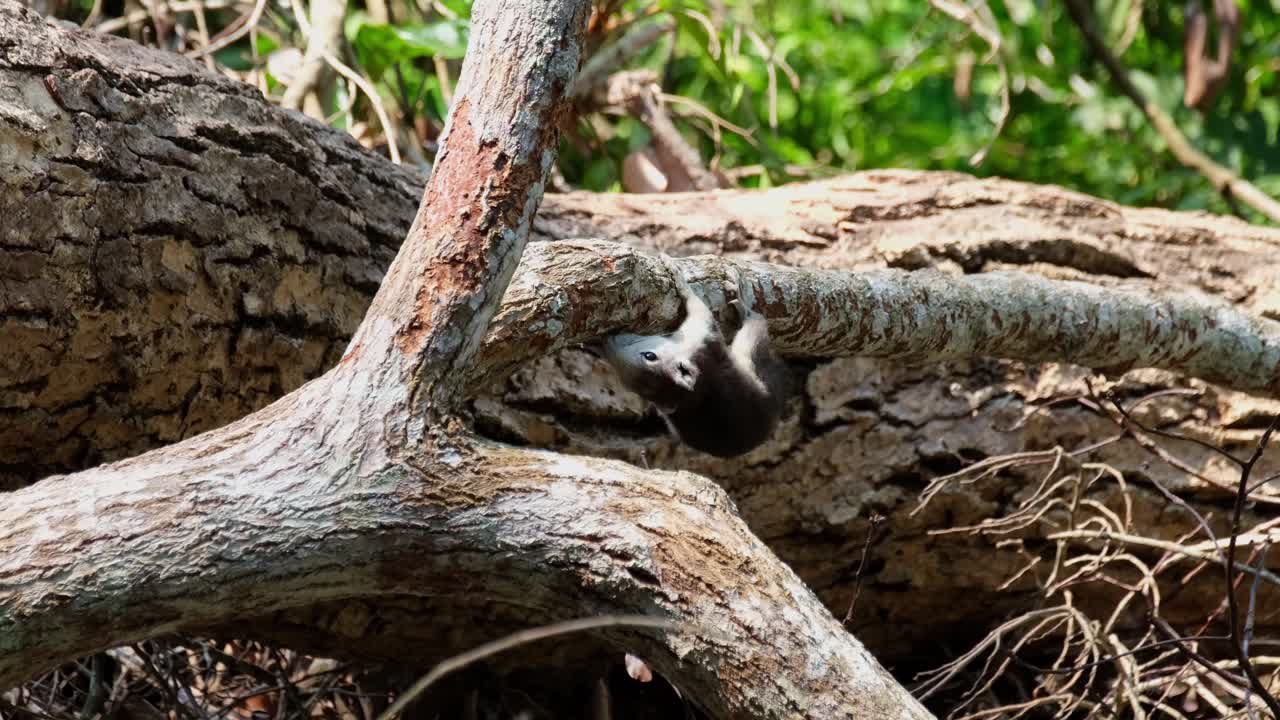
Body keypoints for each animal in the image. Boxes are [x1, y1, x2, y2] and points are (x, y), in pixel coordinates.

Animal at [604, 258, 790, 458]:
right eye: (625, 383)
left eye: (649, 356)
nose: (607, 341)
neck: (691, 393)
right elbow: (697, 305)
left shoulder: (703, 335)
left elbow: (696, 305)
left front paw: (674, 270)